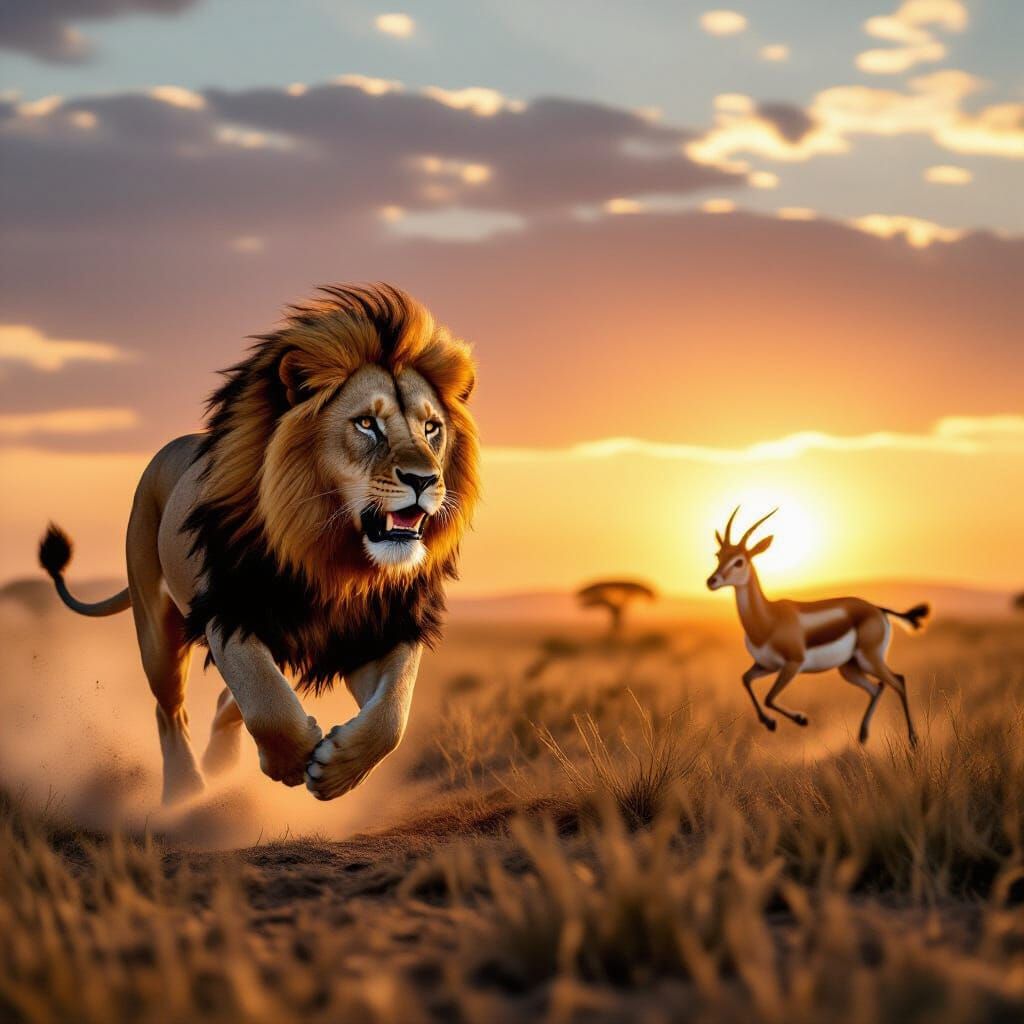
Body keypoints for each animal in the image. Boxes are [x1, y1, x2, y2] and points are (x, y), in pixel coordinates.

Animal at [38, 284, 479, 804]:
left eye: (432, 428)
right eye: (367, 424)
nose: (424, 480)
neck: (334, 557)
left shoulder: (380, 627)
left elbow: (393, 714)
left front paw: (336, 770)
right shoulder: (228, 612)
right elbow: (266, 700)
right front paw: (290, 761)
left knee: (227, 701)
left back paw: (220, 765)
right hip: (157, 628)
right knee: (171, 710)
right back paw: (184, 793)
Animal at [706, 508, 928, 746]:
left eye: (739, 561)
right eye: (719, 556)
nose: (712, 581)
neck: (768, 619)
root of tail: (878, 609)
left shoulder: (792, 664)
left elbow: (769, 697)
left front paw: (800, 719)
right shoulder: (766, 665)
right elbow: (745, 680)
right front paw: (771, 723)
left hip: (870, 659)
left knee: (898, 681)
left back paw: (913, 740)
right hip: (849, 667)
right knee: (876, 688)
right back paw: (862, 735)